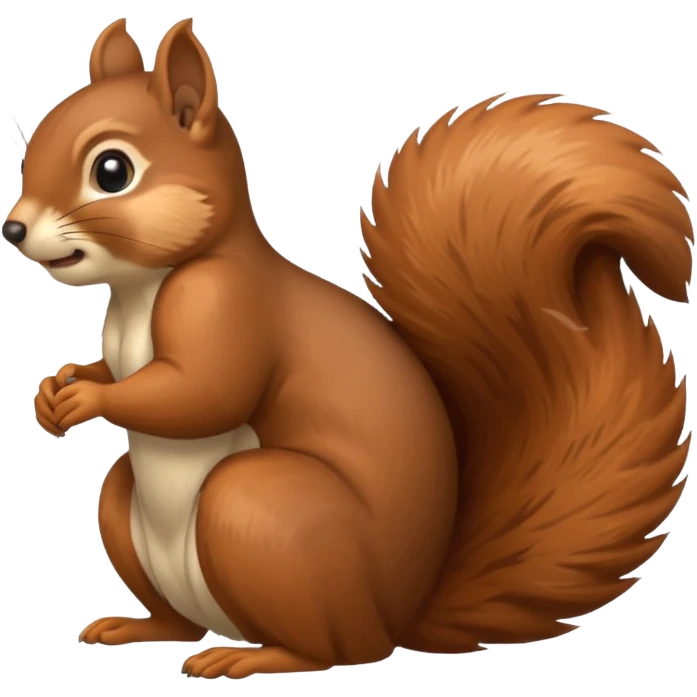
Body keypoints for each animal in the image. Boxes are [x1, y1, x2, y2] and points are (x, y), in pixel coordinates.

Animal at [3, 18, 694, 679]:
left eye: (111, 171)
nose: (14, 228)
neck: (142, 287)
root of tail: (402, 613)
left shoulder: (225, 304)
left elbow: (204, 391)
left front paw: (86, 400)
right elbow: (116, 370)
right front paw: (56, 388)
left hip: (261, 512)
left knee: (336, 648)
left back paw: (257, 658)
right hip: (129, 509)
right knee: (181, 616)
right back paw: (138, 626)